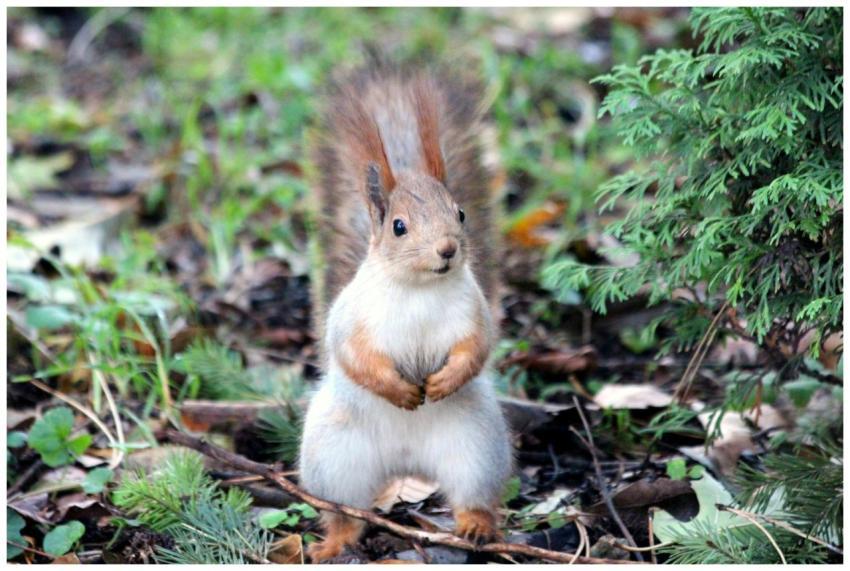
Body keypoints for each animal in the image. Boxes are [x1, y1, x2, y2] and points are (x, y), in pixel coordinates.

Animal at [298, 59, 513, 563]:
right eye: (399, 227)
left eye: (460, 214)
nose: (448, 249)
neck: (419, 289)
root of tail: (407, 463)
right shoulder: (352, 320)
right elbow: (355, 356)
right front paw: (398, 391)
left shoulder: (474, 314)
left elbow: (476, 348)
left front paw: (444, 381)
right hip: (333, 457)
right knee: (343, 512)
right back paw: (334, 543)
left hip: (476, 448)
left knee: (473, 495)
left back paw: (476, 527)